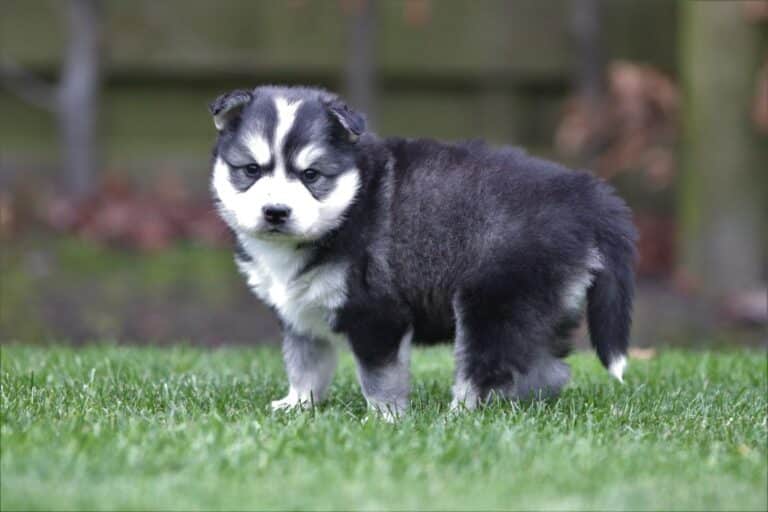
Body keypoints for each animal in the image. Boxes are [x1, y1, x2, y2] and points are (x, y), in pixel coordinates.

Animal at [210, 85, 636, 420]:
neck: (349, 205)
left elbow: (379, 377)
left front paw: (385, 419)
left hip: (491, 301)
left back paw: (459, 415)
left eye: (311, 175)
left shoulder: (378, 314)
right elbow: (305, 364)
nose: (275, 212)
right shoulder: (299, 314)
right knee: (546, 369)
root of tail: (584, 193)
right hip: (536, 304)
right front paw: (298, 404)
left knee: (483, 367)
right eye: (251, 170)